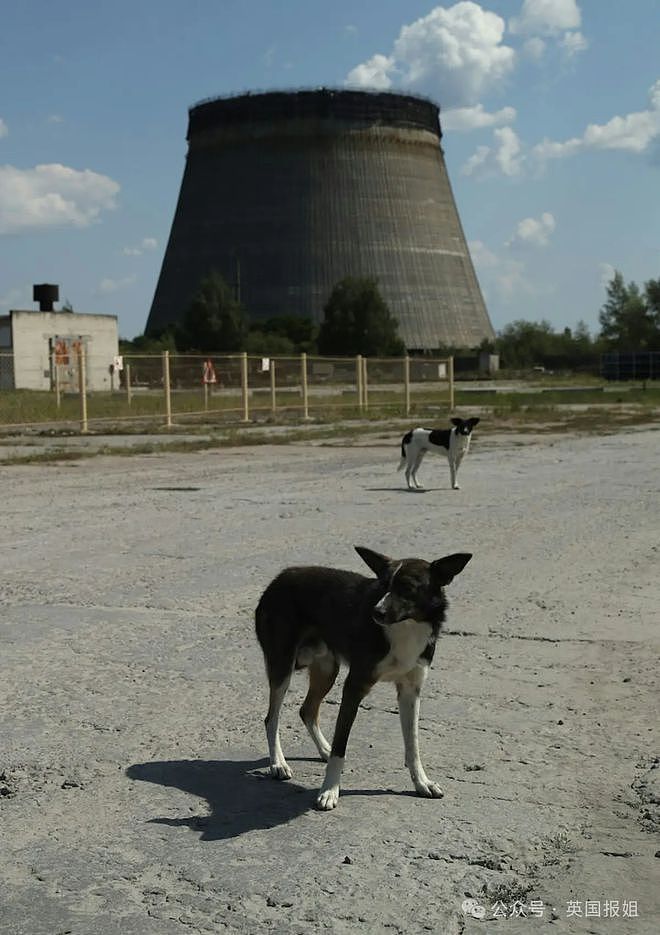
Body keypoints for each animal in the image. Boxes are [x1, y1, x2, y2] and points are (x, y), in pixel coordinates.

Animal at [255, 548, 472, 812]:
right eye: (383, 585)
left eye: (408, 587)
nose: (376, 612)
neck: (406, 628)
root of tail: (280, 577)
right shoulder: (354, 687)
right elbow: (341, 748)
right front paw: (329, 791)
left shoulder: (410, 690)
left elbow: (413, 745)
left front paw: (422, 782)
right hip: (282, 666)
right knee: (272, 718)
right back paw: (278, 763)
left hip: (327, 670)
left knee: (307, 710)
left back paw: (323, 749)